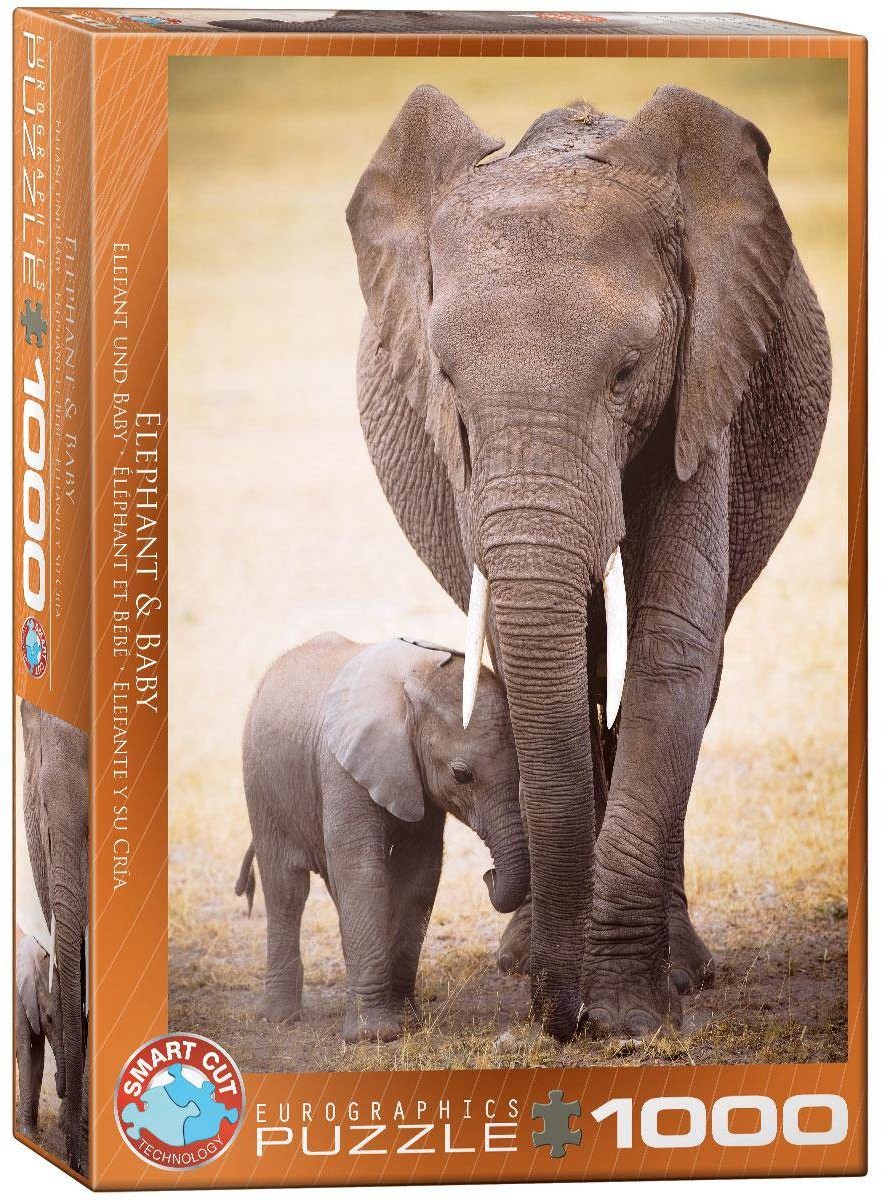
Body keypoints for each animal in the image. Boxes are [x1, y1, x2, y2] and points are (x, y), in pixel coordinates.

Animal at [238, 633, 528, 1043]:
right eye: (461, 775)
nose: (489, 875)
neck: (411, 683)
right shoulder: (341, 768)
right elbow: (363, 873)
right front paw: (374, 1036)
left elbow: (420, 877)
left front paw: (406, 1022)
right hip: (261, 785)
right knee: (286, 889)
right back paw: (279, 1017)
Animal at [346, 85, 831, 1041]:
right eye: (447, 380)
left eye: (627, 372)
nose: (556, 1021)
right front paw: (570, 986)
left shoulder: (705, 379)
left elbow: (673, 644)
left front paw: (632, 1017)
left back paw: (681, 970)